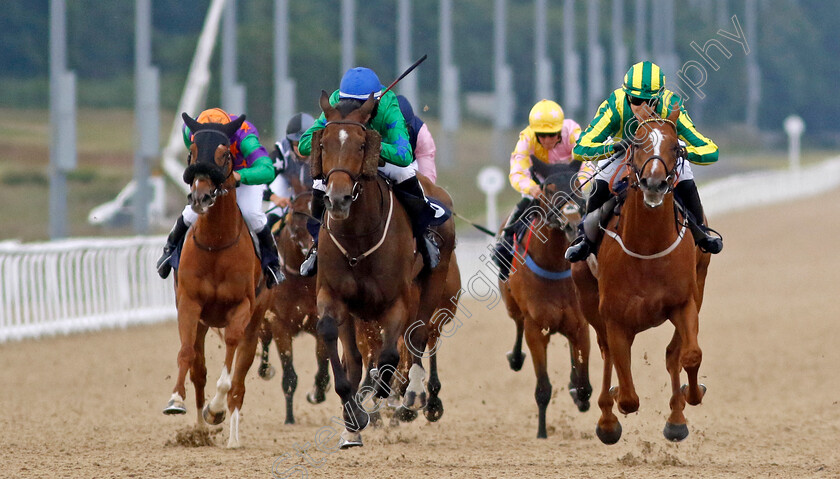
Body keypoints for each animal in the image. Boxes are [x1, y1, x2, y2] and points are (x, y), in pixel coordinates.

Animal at [162, 113, 270, 450]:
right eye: (192, 152)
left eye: (224, 155)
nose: (201, 196)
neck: (216, 244)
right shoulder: (189, 303)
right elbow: (187, 354)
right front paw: (176, 401)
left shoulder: (242, 307)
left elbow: (230, 369)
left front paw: (217, 408)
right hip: (203, 321)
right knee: (199, 369)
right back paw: (199, 428)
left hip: (255, 320)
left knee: (240, 379)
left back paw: (231, 434)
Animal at [308, 92, 452, 448]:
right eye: (323, 144)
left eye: (362, 145)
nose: (338, 199)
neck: (358, 239)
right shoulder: (332, 294)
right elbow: (336, 344)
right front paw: (353, 416)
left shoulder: (397, 300)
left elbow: (389, 357)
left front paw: (380, 395)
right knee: (358, 356)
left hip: (431, 286)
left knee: (416, 338)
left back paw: (405, 395)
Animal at [502, 164, 592, 438]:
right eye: (549, 189)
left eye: (577, 186)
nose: (572, 223)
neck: (555, 266)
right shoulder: (536, 328)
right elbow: (543, 389)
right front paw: (542, 433)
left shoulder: (580, 324)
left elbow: (584, 385)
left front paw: (578, 392)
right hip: (511, 304)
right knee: (517, 322)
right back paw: (515, 358)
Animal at [572, 103, 708, 444]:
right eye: (635, 144)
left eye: (675, 147)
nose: (654, 183)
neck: (647, 248)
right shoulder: (615, 317)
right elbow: (628, 396)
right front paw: (613, 405)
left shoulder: (685, 303)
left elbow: (689, 355)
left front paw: (691, 395)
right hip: (588, 299)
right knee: (607, 353)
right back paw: (608, 416)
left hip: (699, 287)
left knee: (673, 353)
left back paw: (676, 417)